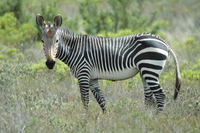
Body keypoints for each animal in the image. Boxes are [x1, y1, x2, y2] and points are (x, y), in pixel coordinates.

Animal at [36, 14, 181, 112]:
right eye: (42, 41)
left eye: (57, 41)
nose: (50, 64)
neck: (74, 49)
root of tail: (164, 42)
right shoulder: (92, 78)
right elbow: (101, 100)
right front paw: (104, 118)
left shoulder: (83, 74)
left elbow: (85, 100)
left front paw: (85, 120)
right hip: (145, 72)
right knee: (149, 98)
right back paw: (146, 117)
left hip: (150, 69)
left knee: (160, 96)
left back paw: (157, 118)